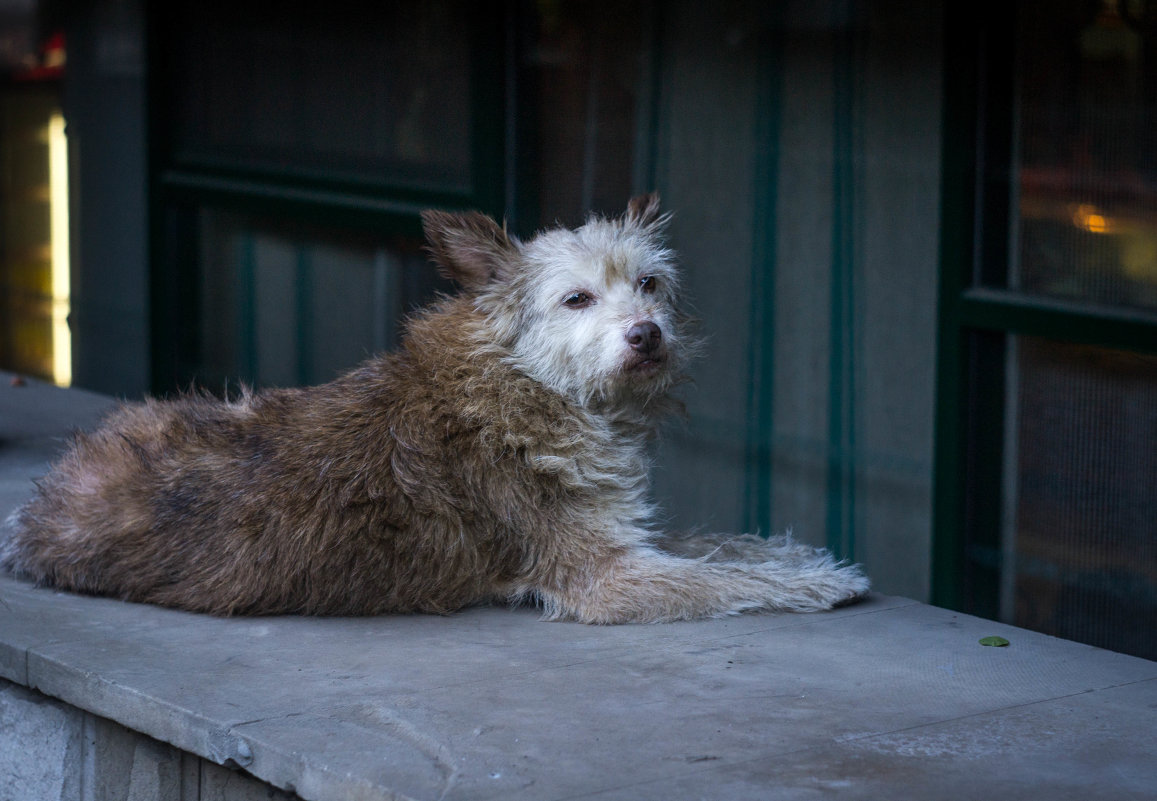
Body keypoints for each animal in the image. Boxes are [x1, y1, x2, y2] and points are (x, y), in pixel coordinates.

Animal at [0, 194, 870, 620]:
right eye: (576, 299)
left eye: (649, 284)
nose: (647, 334)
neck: (528, 384)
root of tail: (37, 513)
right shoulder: (601, 576)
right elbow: (713, 580)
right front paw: (816, 586)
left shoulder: (624, 531)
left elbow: (720, 546)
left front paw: (802, 557)